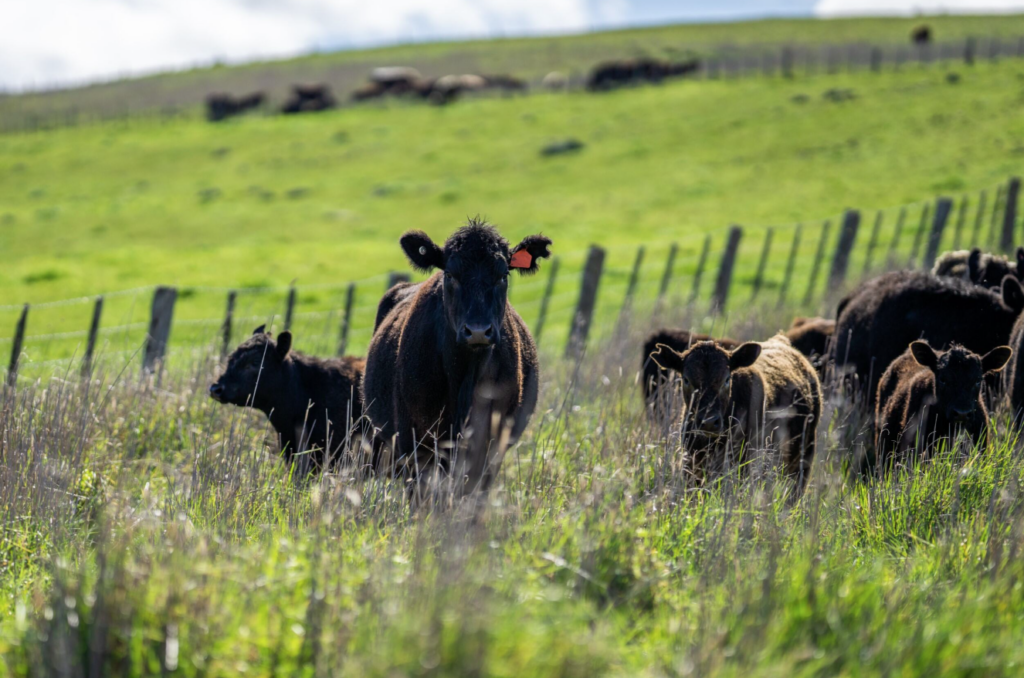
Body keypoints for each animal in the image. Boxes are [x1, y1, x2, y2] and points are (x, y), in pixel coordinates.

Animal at [362, 219, 552, 496]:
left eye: (503, 275)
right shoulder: (413, 440)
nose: (478, 330)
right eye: (450, 275)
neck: (464, 375)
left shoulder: (491, 444)